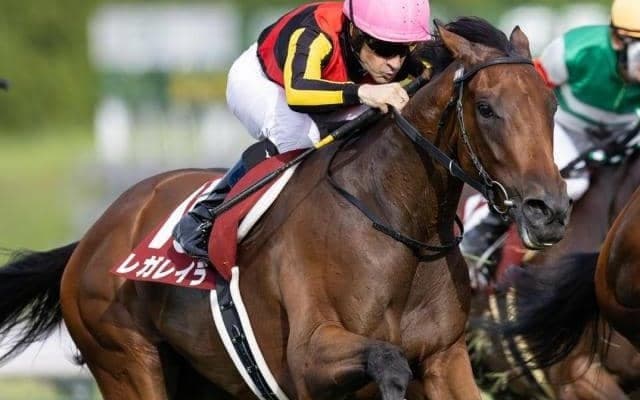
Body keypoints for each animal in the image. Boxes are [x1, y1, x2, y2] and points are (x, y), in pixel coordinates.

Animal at [0, 18, 570, 400]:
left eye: (551, 104)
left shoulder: (446, 359)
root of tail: (93, 236)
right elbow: (387, 359)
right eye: (486, 108)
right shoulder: (310, 358)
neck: (398, 224)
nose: (550, 210)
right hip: (127, 362)